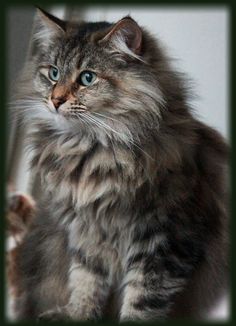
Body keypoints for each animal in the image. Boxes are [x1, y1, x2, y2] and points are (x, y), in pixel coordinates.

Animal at [11, 7, 229, 320]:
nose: (55, 100)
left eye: (87, 78)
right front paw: (76, 315)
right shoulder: (86, 231)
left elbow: (143, 300)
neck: (90, 154)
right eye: (53, 73)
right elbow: (86, 280)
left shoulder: (166, 240)